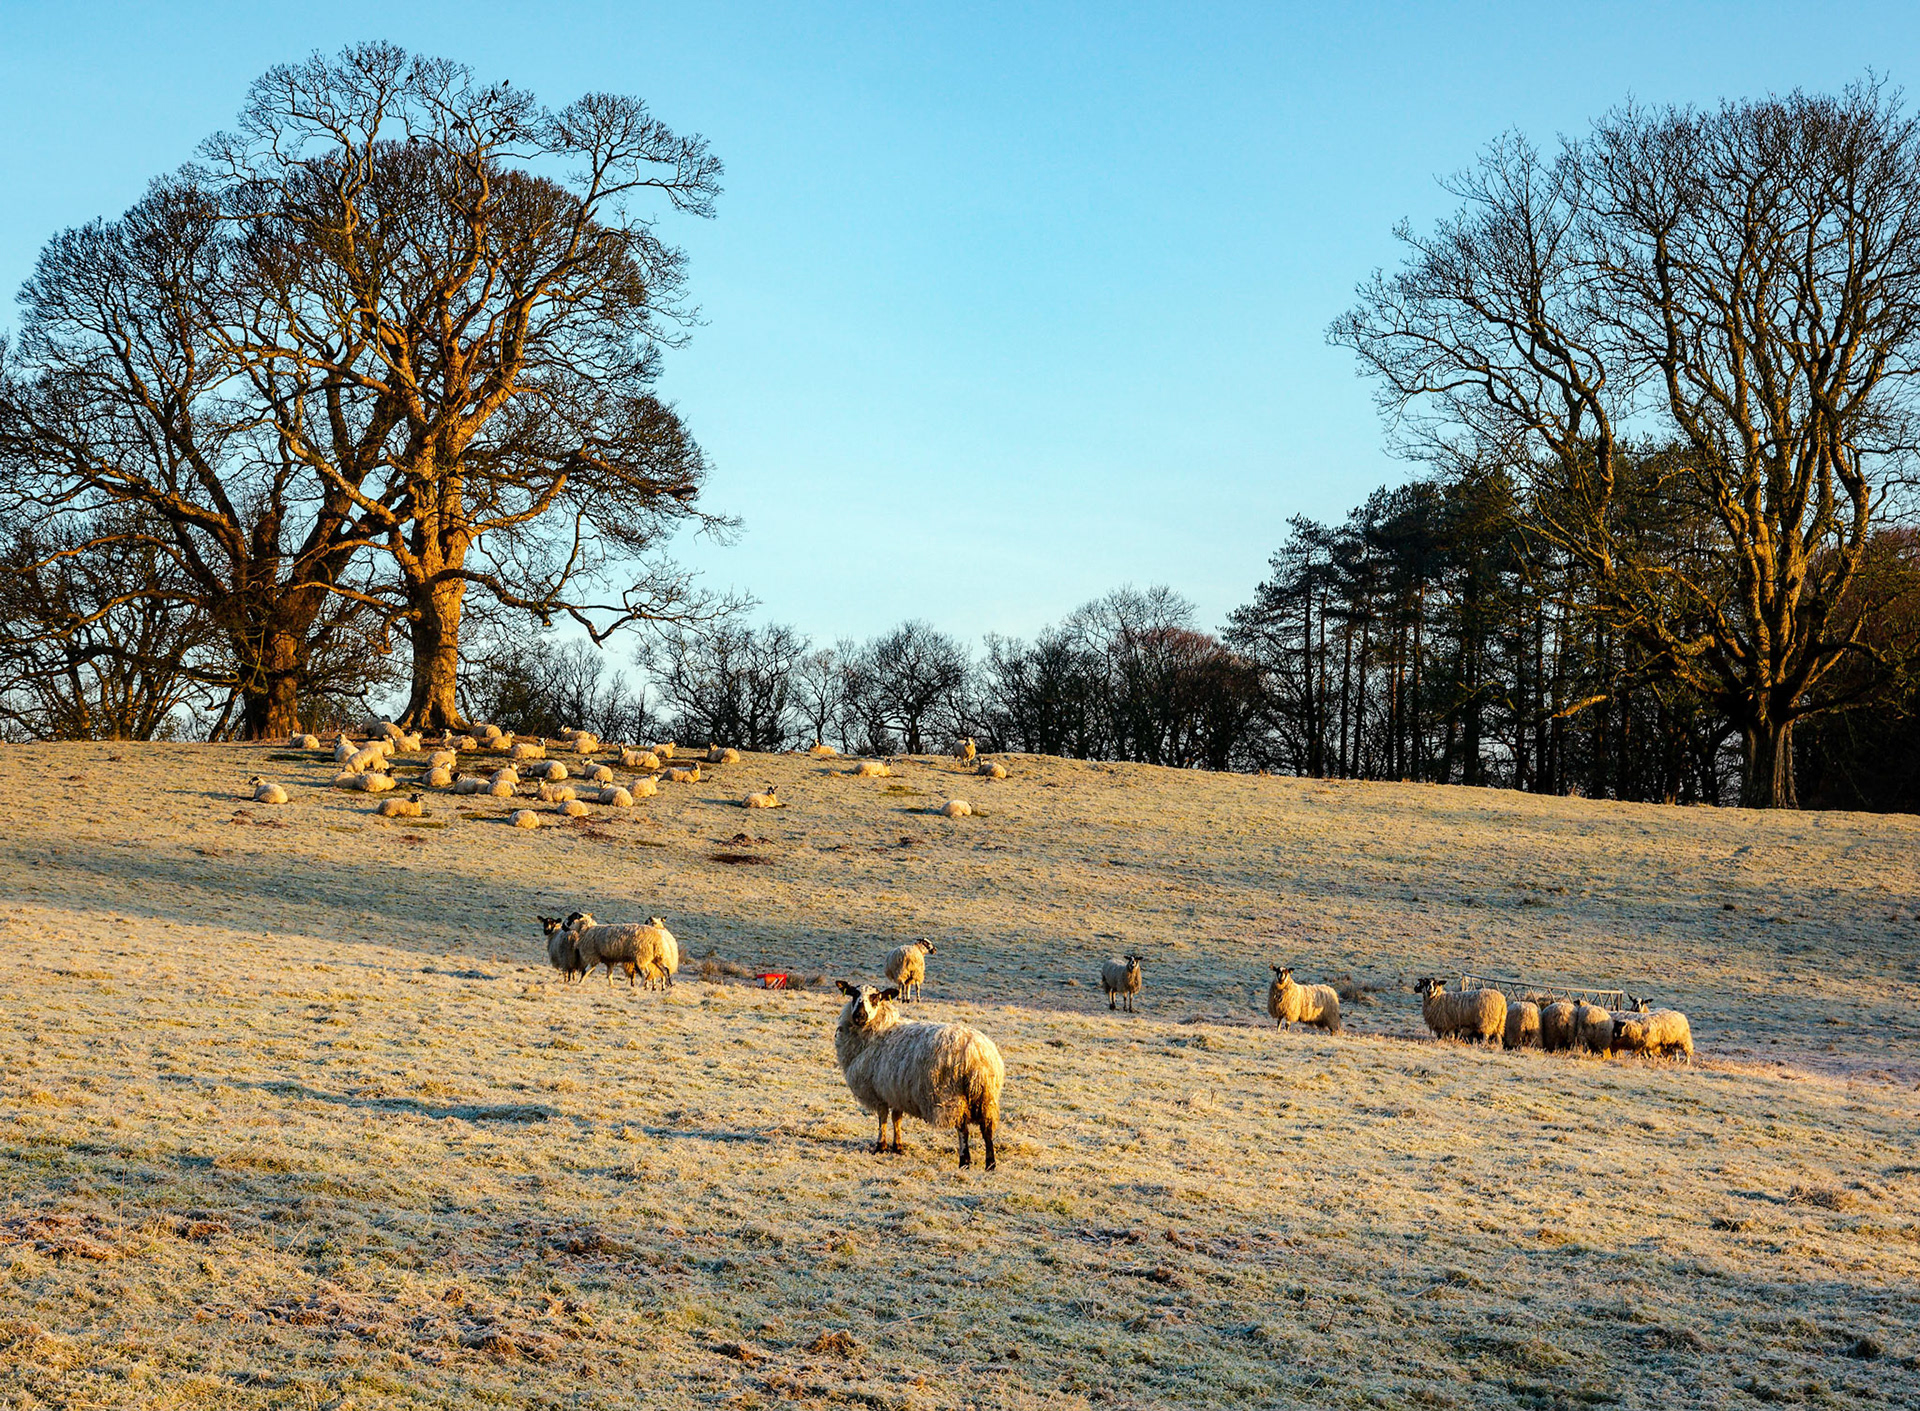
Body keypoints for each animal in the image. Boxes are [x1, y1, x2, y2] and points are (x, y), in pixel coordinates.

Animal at [833, 981, 1004, 1170]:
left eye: (875, 997)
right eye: (854, 994)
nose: (859, 1016)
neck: (879, 1030)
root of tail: (977, 1053)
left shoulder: (879, 1091)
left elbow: (882, 1117)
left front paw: (880, 1146)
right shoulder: (896, 1089)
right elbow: (897, 1118)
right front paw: (897, 1147)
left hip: (952, 1096)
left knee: (962, 1128)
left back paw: (964, 1161)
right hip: (986, 1097)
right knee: (987, 1129)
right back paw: (990, 1164)